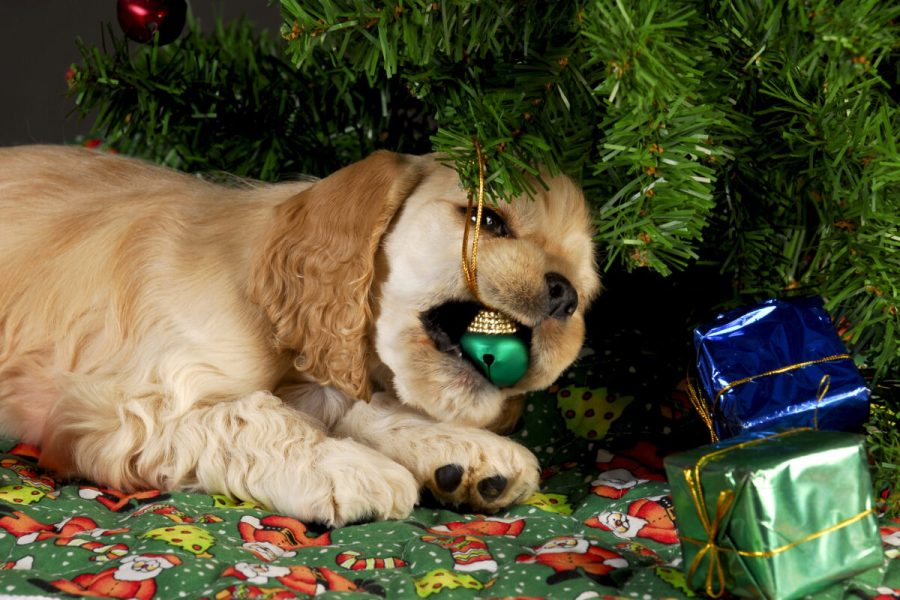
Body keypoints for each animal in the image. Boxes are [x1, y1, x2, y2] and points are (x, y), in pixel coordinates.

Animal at [0, 146, 596, 524]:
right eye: (488, 220)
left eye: (587, 287)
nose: (564, 294)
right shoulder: (117, 409)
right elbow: (252, 416)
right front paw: (348, 468)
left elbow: (352, 403)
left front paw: (466, 452)